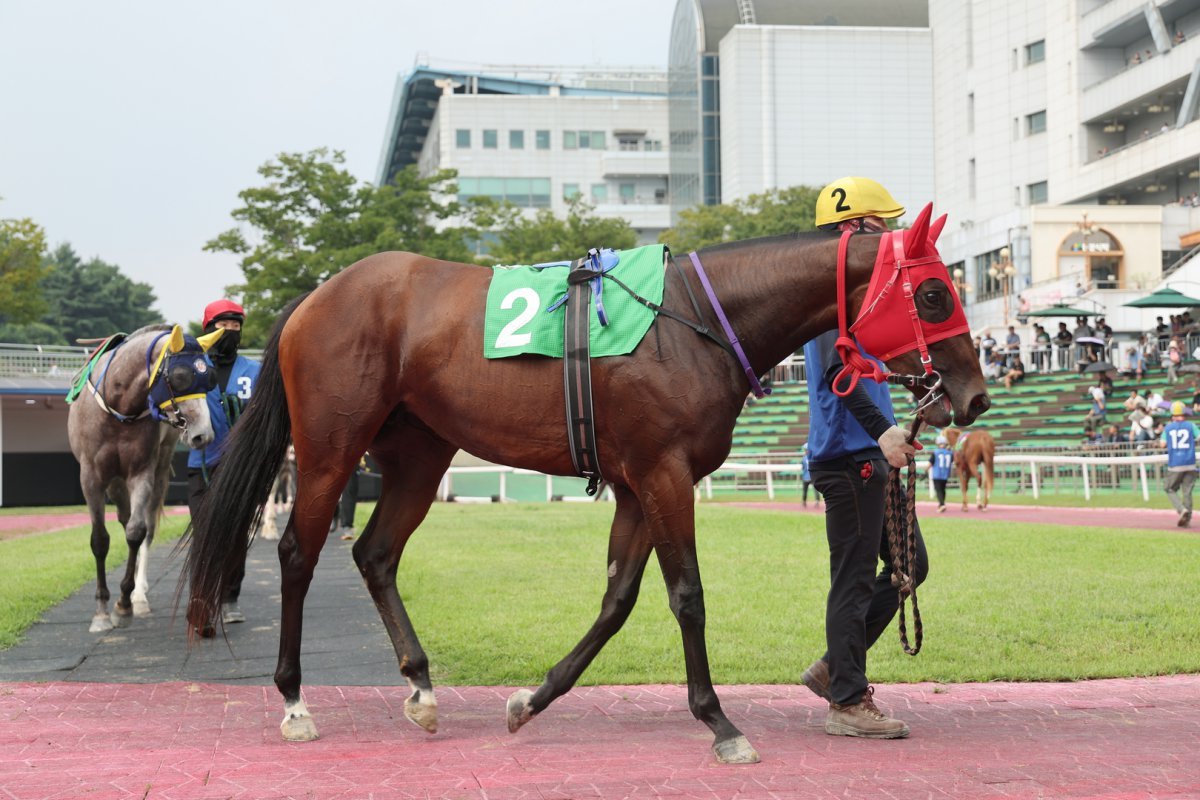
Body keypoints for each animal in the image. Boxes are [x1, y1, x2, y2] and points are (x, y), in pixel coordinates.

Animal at [68, 323, 224, 633]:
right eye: (180, 377)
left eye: (210, 378)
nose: (203, 434)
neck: (119, 407)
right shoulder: (91, 477)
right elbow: (100, 539)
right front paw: (101, 611)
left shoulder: (141, 471)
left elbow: (137, 532)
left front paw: (124, 603)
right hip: (115, 483)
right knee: (123, 516)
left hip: (160, 468)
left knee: (145, 527)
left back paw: (139, 594)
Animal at [182, 203, 988, 767]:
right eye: (935, 294)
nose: (976, 396)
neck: (690, 319)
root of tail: (316, 298)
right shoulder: (663, 473)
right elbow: (687, 596)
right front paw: (721, 723)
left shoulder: (636, 485)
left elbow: (617, 599)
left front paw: (530, 700)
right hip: (329, 449)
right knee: (297, 553)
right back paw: (294, 701)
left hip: (418, 453)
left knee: (375, 553)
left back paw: (420, 687)